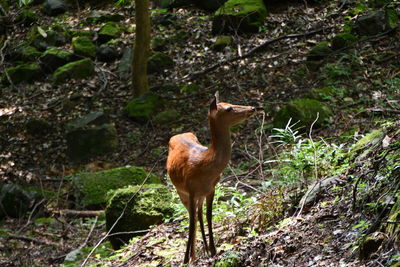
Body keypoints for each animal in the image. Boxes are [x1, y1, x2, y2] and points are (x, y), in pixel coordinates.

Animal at [166, 93, 256, 264]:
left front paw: (213, 250)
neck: (204, 165)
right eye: (229, 108)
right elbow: (191, 222)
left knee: (199, 213)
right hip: (180, 191)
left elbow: (208, 215)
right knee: (193, 216)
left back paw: (202, 251)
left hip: (200, 194)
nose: (252, 107)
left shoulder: (211, 188)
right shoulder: (190, 189)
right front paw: (185, 259)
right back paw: (192, 255)